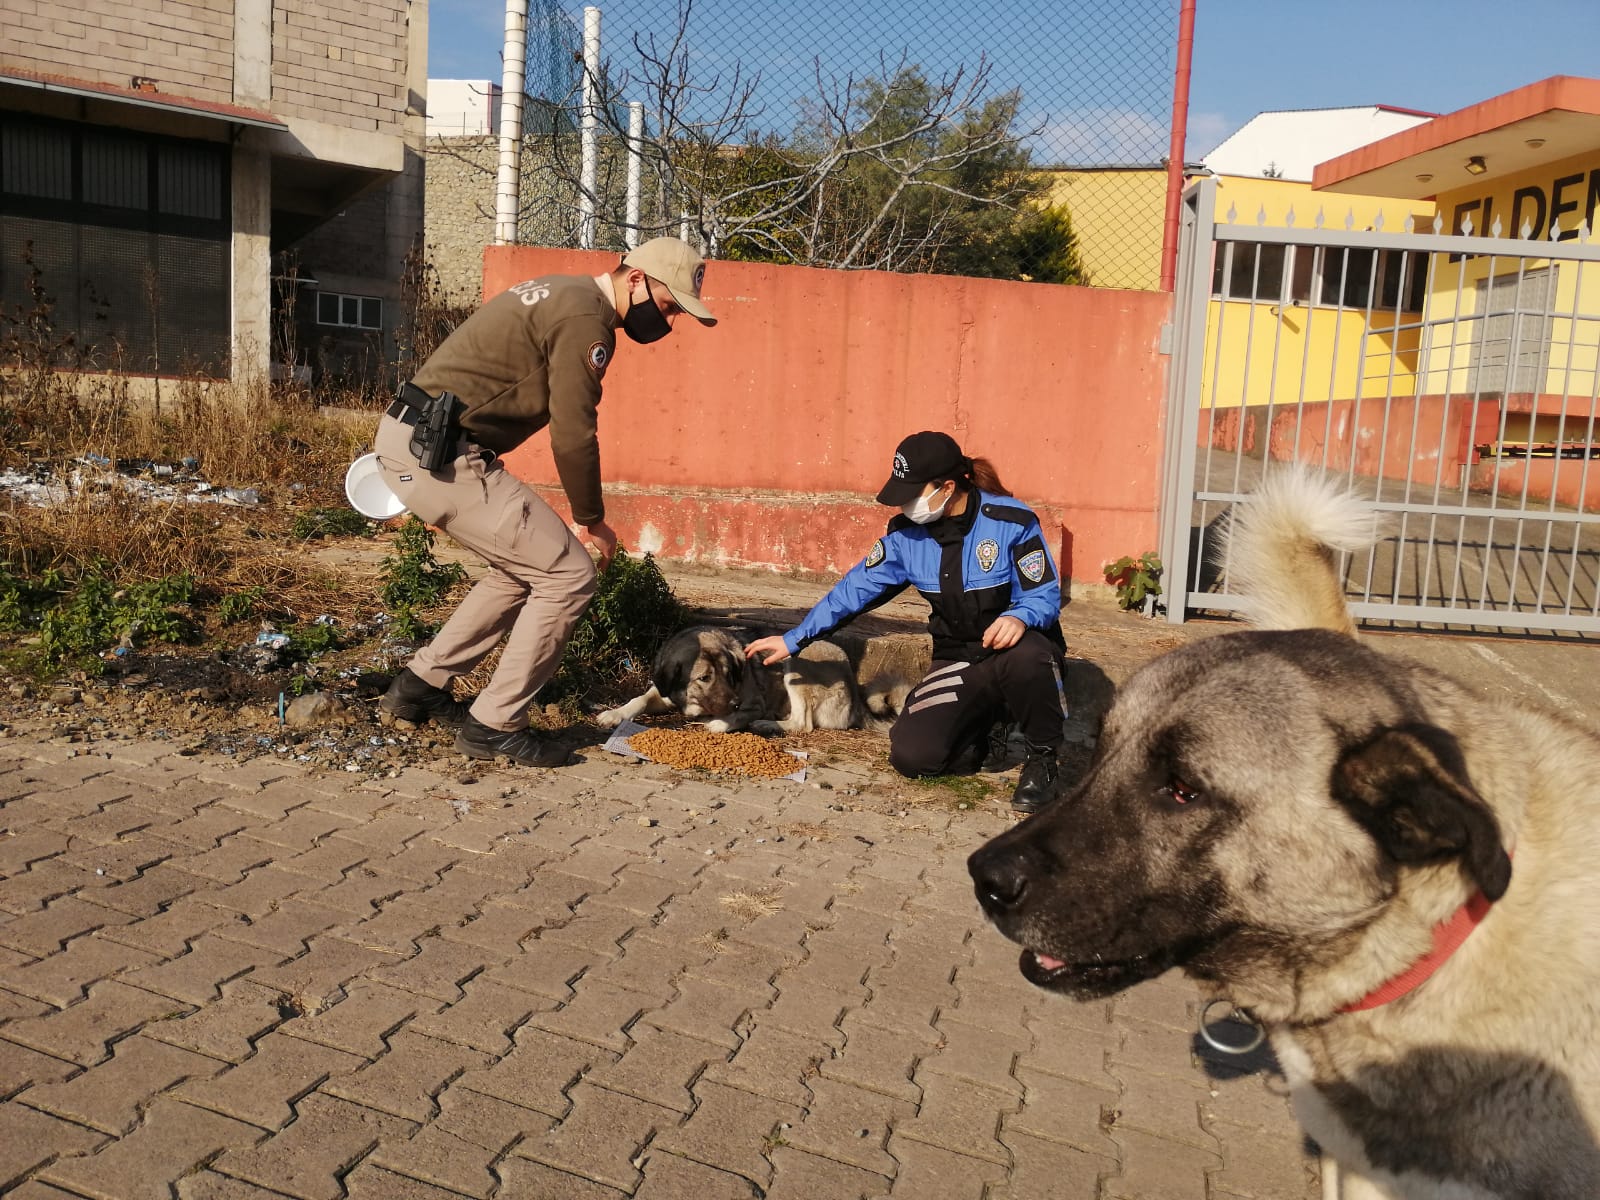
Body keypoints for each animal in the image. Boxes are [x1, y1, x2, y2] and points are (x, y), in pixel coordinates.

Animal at [598, 624, 902, 739]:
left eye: (728, 672)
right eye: (705, 678)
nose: (734, 702)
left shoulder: (754, 703)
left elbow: (736, 717)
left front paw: (720, 723)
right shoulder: (662, 692)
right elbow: (638, 699)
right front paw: (615, 714)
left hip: (795, 662)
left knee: (802, 723)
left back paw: (767, 724)